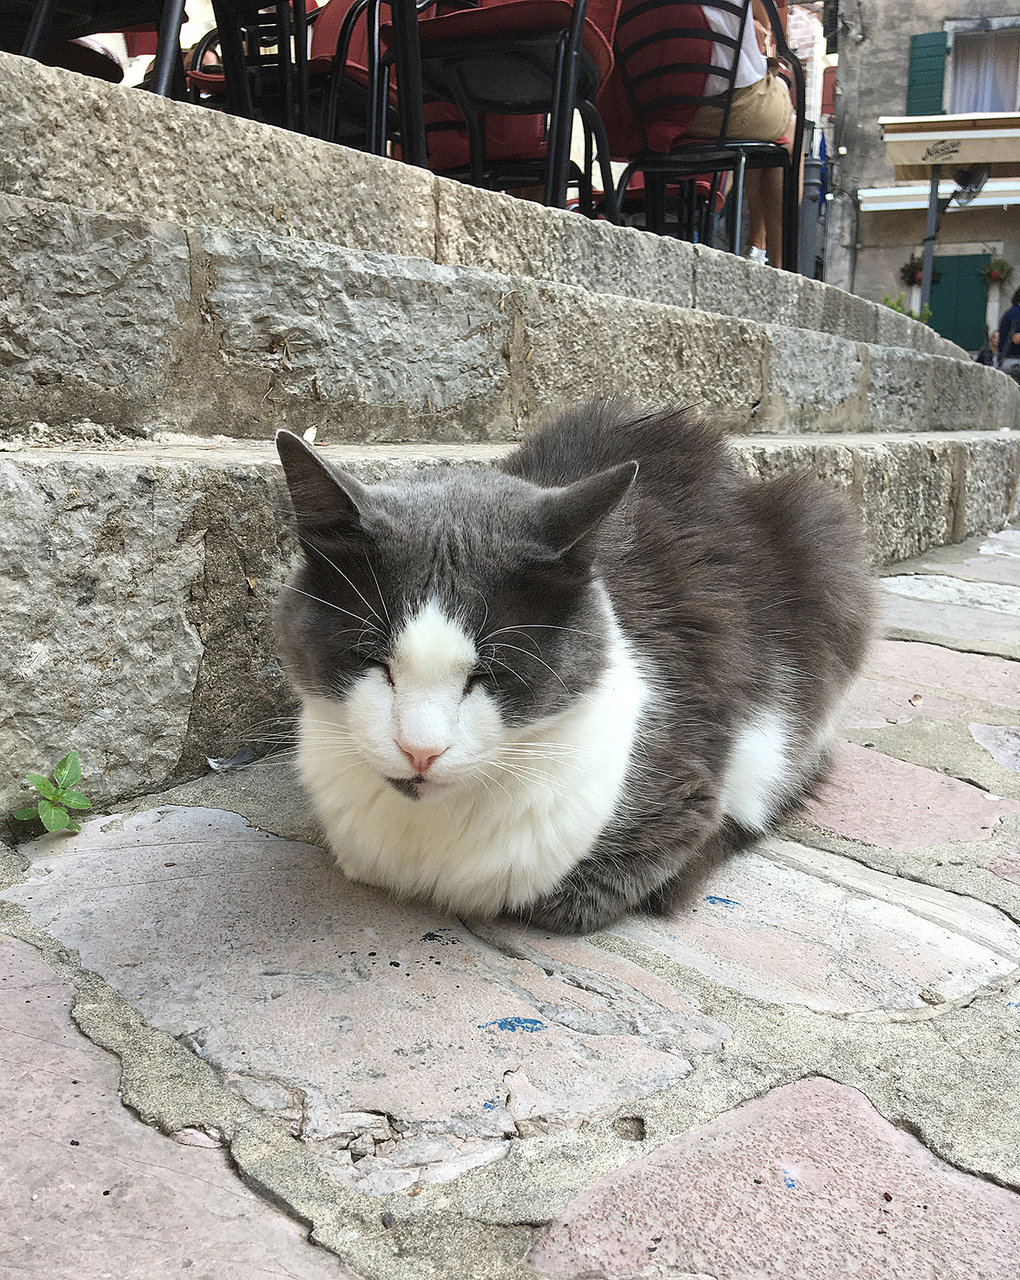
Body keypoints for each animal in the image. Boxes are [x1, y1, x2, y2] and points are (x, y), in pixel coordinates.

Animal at [275, 400, 875, 935]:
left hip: (822, 541)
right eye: (370, 658)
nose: (420, 750)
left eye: (491, 672)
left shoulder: (685, 785)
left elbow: (578, 894)